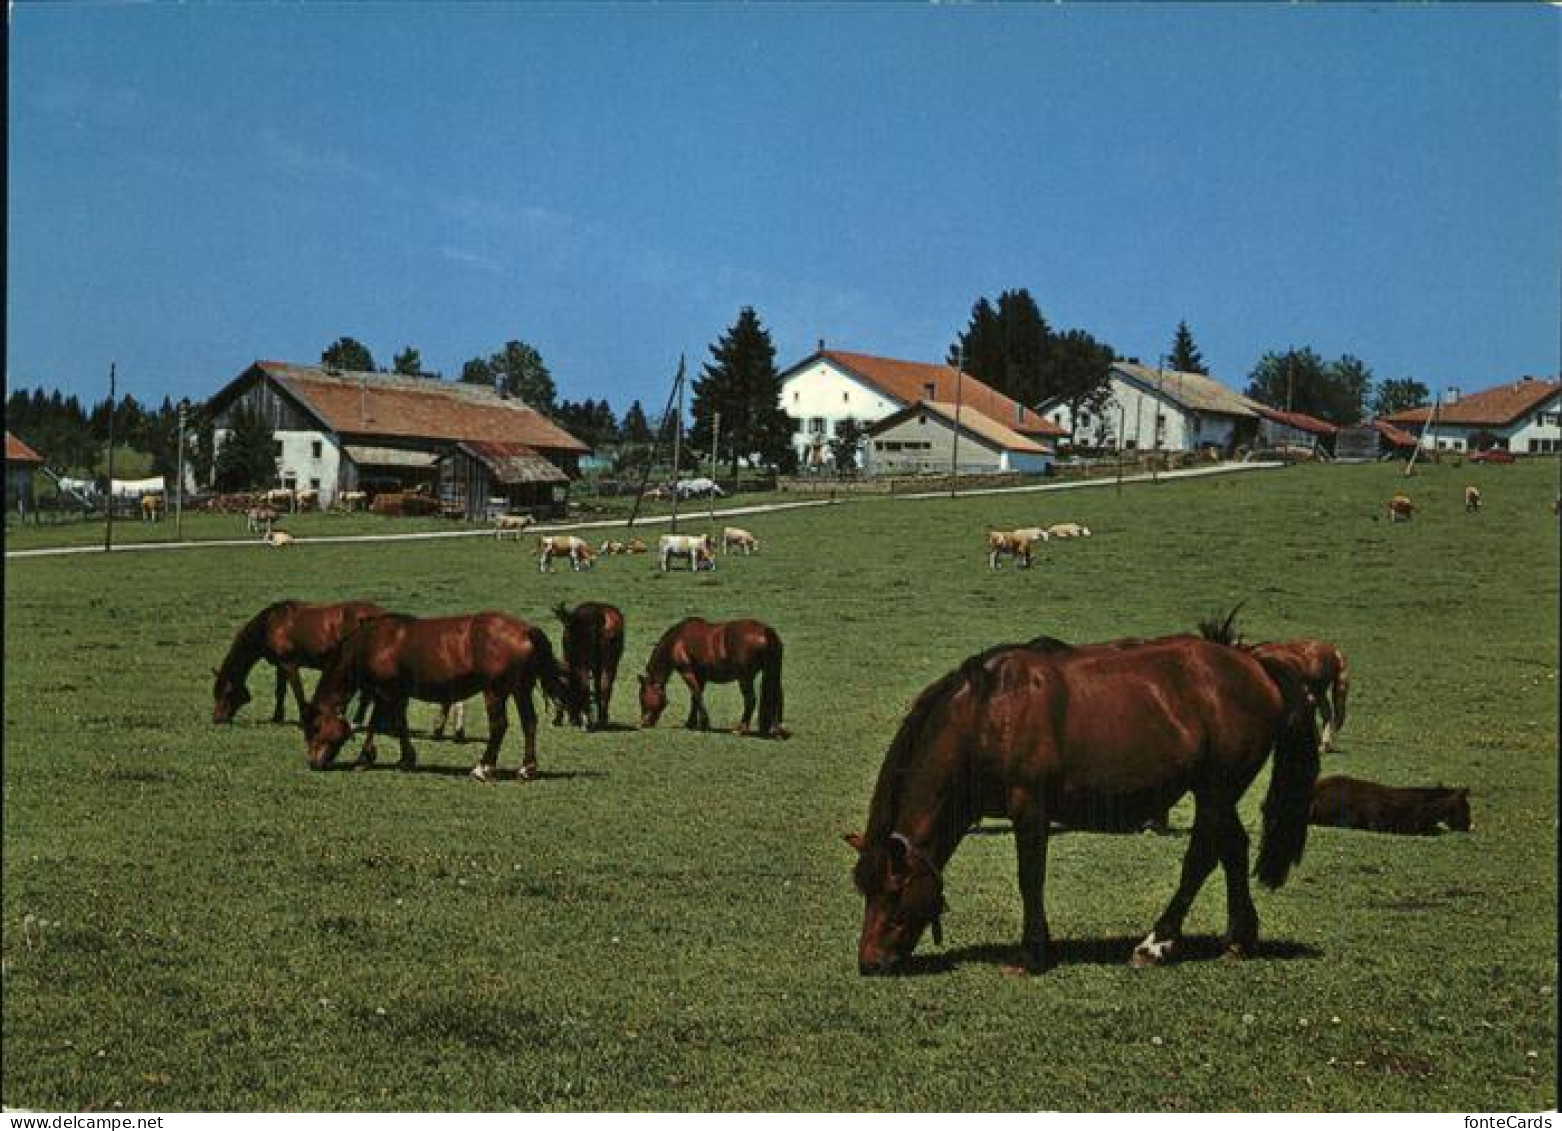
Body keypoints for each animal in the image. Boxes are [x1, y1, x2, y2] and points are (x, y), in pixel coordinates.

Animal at [212, 599, 388, 724]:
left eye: (226, 693)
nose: (217, 719)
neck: (271, 623)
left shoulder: (289, 664)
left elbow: (297, 692)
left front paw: (304, 717)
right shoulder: (280, 666)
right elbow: (280, 691)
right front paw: (277, 717)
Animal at [301, 615, 571, 781]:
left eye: (315, 727)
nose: (313, 762)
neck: (375, 641)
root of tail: (525, 629)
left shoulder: (385, 692)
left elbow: (377, 724)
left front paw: (364, 759)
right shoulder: (397, 695)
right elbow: (401, 725)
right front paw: (406, 759)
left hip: (495, 691)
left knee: (499, 726)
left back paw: (483, 767)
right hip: (520, 689)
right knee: (529, 723)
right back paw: (526, 769)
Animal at [634, 615, 787, 737]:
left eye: (642, 698)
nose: (643, 723)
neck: (677, 640)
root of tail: (766, 631)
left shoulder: (687, 672)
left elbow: (697, 696)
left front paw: (704, 724)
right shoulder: (700, 675)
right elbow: (695, 698)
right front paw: (691, 723)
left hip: (745, 678)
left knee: (750, 700)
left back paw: (740, 729)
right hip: (773, 673)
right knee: (776, 697)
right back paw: (777, 731)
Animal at [843, 631, 1318, 974]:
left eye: (893, 891)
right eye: (864, 889)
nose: (870, 962)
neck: (986, 715)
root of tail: (1254, 663)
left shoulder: (1029, 810)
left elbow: (1030, 879)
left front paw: (1033, 954)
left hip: (1216, 790)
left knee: (1201, 857)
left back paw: (1156, 943)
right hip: (1216, 793)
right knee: (1233, 848)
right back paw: (1238, 939)